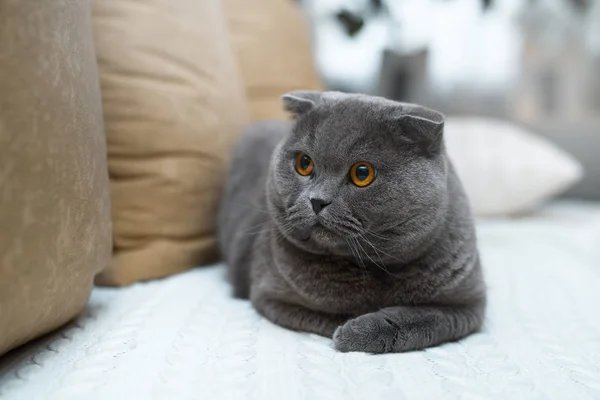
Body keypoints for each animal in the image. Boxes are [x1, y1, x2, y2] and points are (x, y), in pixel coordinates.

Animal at [218, 91, 486, 354]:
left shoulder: (470, 306)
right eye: (304, 163)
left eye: (362, 173)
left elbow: (425, 318)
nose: (317, 201)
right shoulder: (270, 296)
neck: (374, 268)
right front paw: (352, 328)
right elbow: (332, 313)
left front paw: (362, 330)